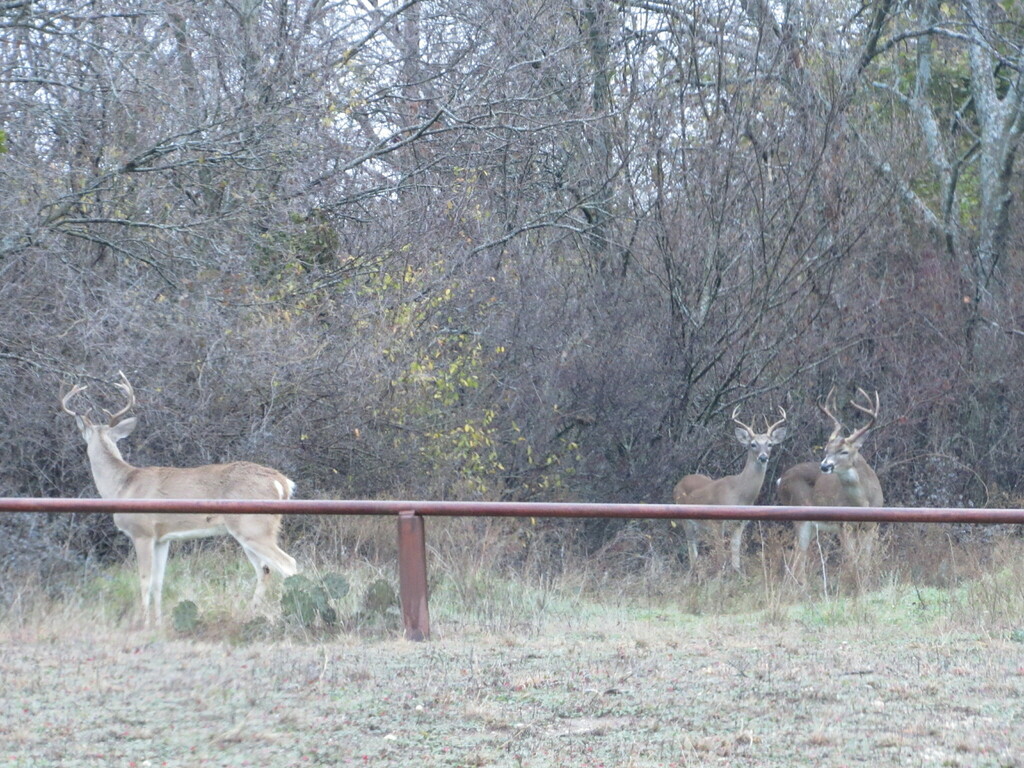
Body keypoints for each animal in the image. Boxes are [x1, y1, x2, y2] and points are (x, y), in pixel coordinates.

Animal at [675, 409, 786, 573]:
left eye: (770, 444)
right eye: (753, 444)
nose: (763, 457)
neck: (740, 493)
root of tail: (679, 483)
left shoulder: (740, 523)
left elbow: (735, 552)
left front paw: (737, 573)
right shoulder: (717, 522)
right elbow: (721, 554)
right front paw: (720, 575)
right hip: (685, 518)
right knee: (691, 547)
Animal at [778, 387, 884, 585]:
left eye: (844, 451)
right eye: (827, 449)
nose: (825, 466)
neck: (863, 502)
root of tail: (781, 480)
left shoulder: (871, 525)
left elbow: (865, 562)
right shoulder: (843, 524)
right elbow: (852, 560)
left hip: (813, 525)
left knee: (795, 555)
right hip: (801, 515)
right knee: (799, 558)